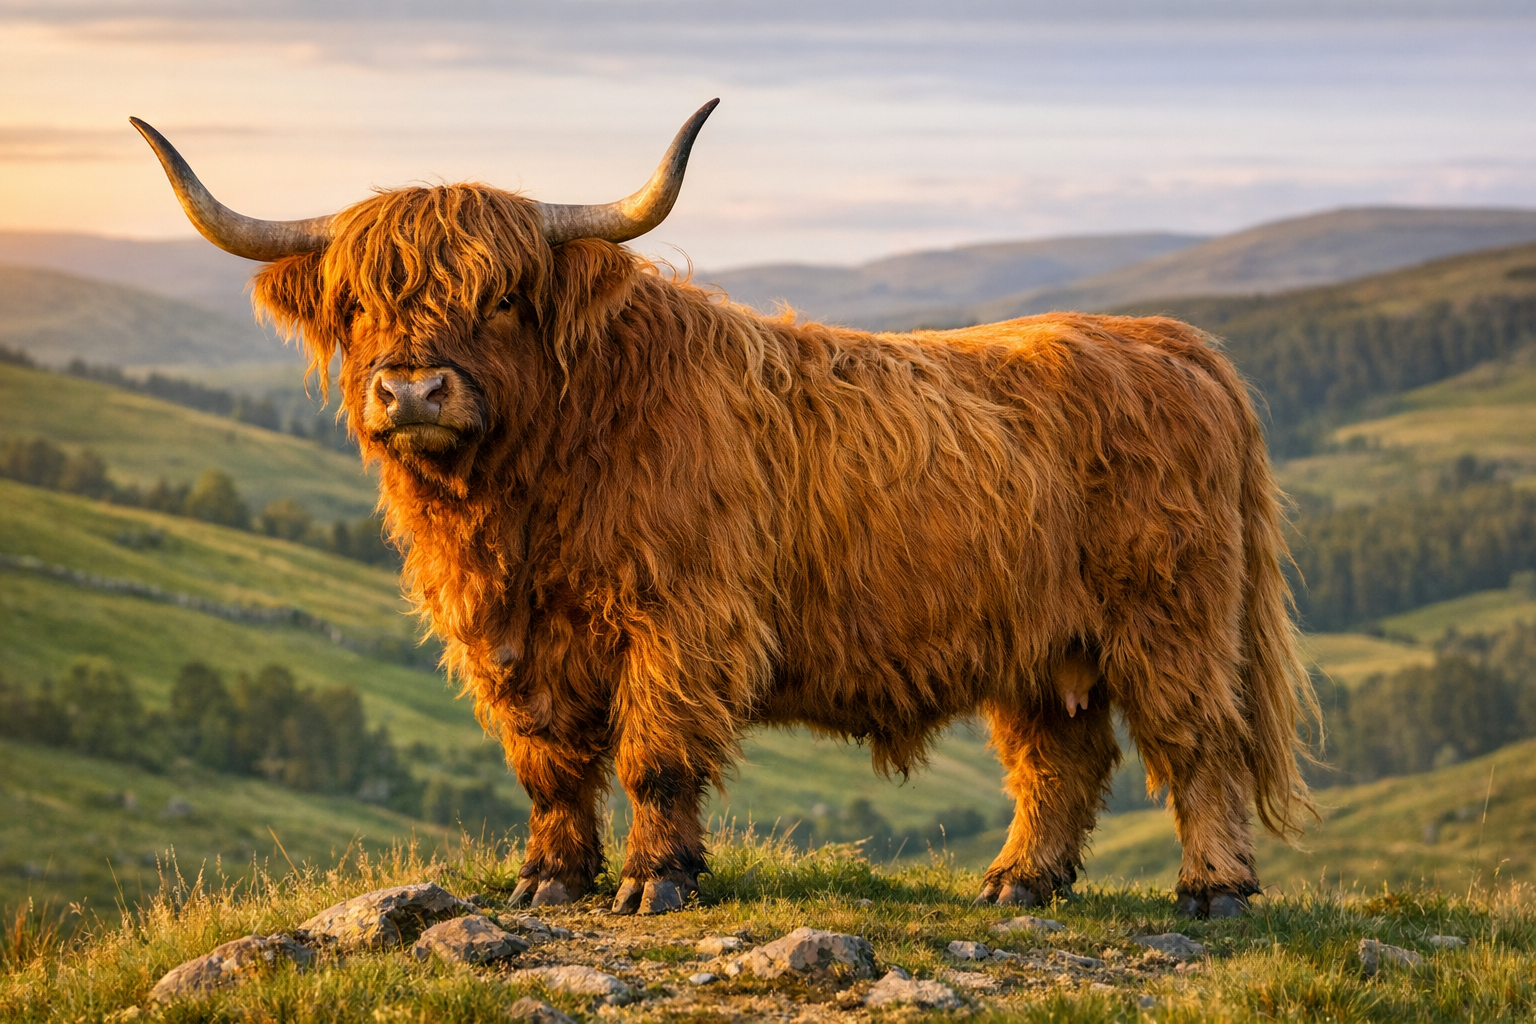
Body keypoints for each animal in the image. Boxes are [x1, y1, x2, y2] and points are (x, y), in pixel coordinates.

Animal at [134, 100, 1318, 918]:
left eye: (505, 297)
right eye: (357, 303)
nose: (415, 390)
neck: (529, 494)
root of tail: (1170, 340)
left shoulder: (681, 618)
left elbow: (655, 753)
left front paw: (656, 880)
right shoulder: (509, 638)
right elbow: (546, 762)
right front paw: (551, 879)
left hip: (1170, 617)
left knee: (1197, 743)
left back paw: (1213, 891)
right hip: (1040, 642)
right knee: (1060, 759)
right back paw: (1018, 884)